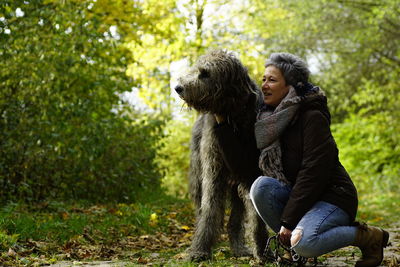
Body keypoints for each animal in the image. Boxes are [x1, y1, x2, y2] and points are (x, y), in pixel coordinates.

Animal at [176, 49, 268, 262]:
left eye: (205, 73)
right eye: (196, 69)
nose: (178, 87)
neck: (232, 117)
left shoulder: (251, 170)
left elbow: (256, 214)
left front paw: (261, 249)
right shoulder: (213, 171)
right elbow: (210, 209)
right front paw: (200, 250)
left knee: (235, 219)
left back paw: (239, 248)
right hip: (198, 177)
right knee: (201, 210)